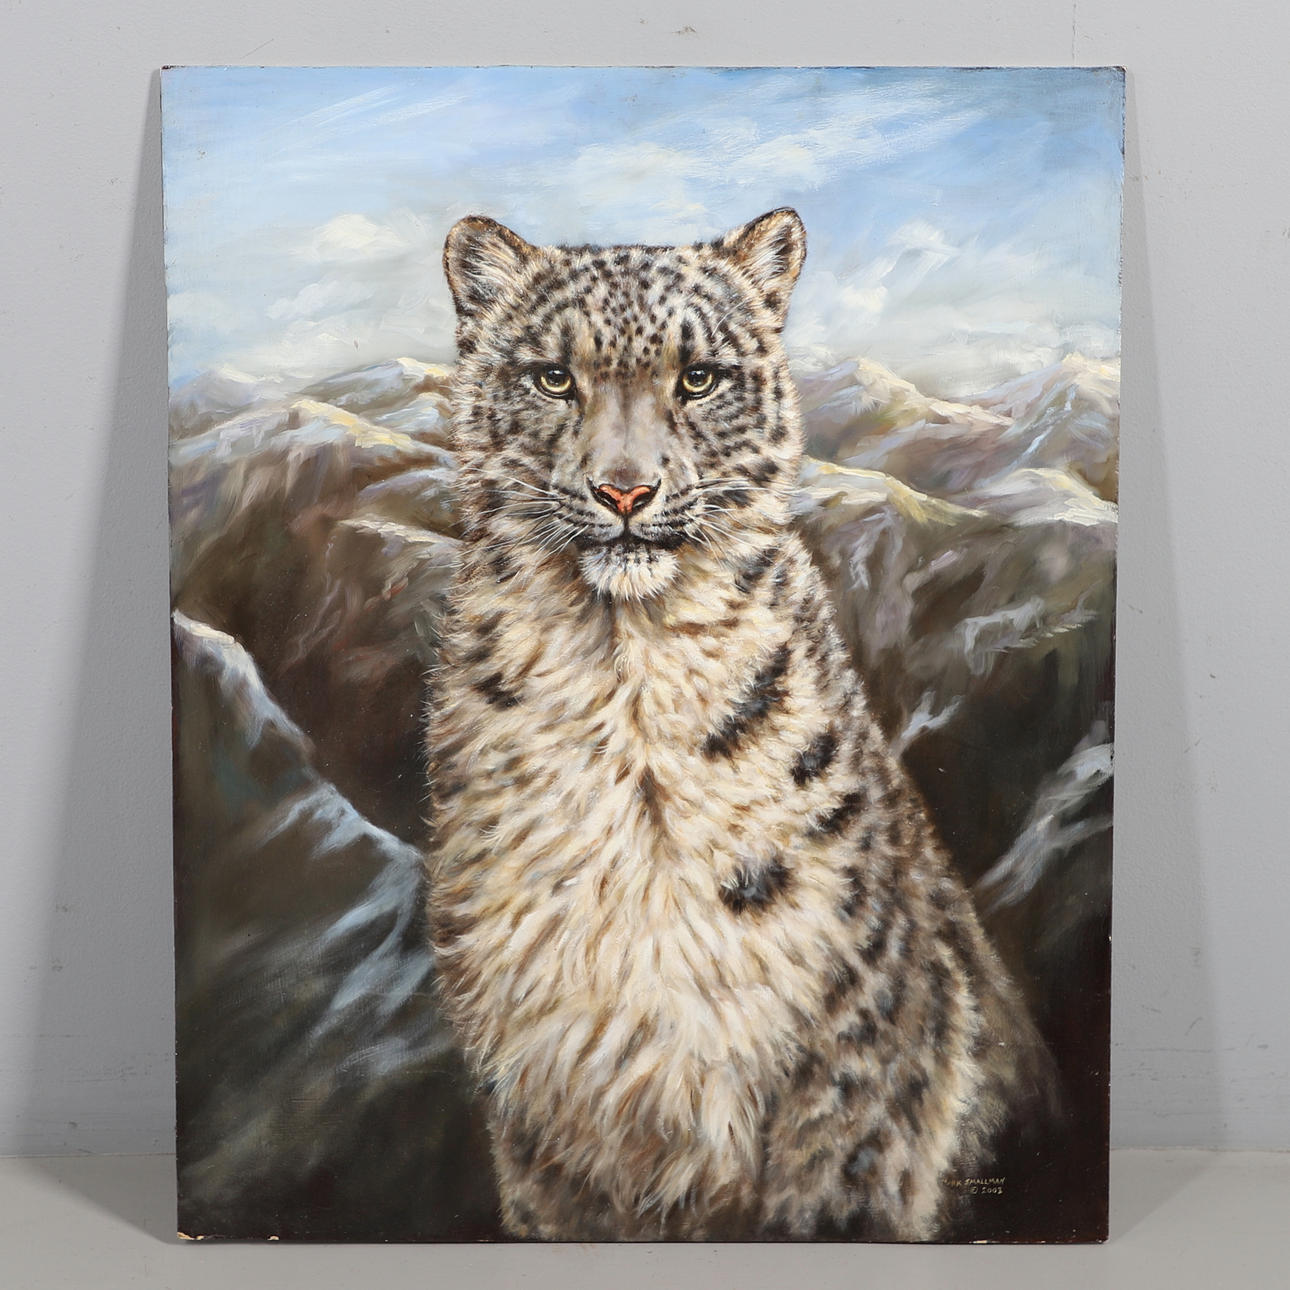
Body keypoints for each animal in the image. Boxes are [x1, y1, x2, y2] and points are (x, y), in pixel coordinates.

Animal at [424, 208, 1054, 1241]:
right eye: (554, 376)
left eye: (699, 377)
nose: (625, 491)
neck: (629, 693)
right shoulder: (545, 1115)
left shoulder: (851, 1089)